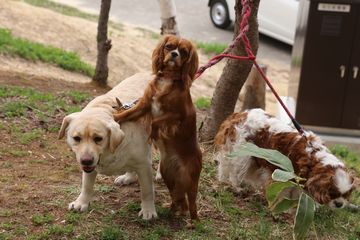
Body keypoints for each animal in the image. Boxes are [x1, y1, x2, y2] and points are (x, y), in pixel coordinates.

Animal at [59, 72, 158, 219]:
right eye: (77, 138)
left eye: (98, 139)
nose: (86, 160)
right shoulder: (90, 168)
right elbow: (86, 186)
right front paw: (81, 202)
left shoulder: (144, 165)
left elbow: (147, 191)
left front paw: (148, 210)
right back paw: (128, 177)